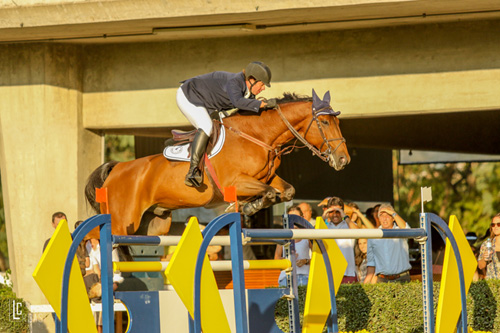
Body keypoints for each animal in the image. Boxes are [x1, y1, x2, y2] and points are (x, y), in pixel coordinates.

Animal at [85, 89, 348, 236]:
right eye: (324, 123)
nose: (343, 159)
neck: (257, 137)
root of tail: (116, 168)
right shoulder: (236, 182)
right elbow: (269, 193)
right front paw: (245, 207)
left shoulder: (268, 178)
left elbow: (285, 191)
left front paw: (248, 206)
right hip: (121, 223)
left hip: (152, 225)